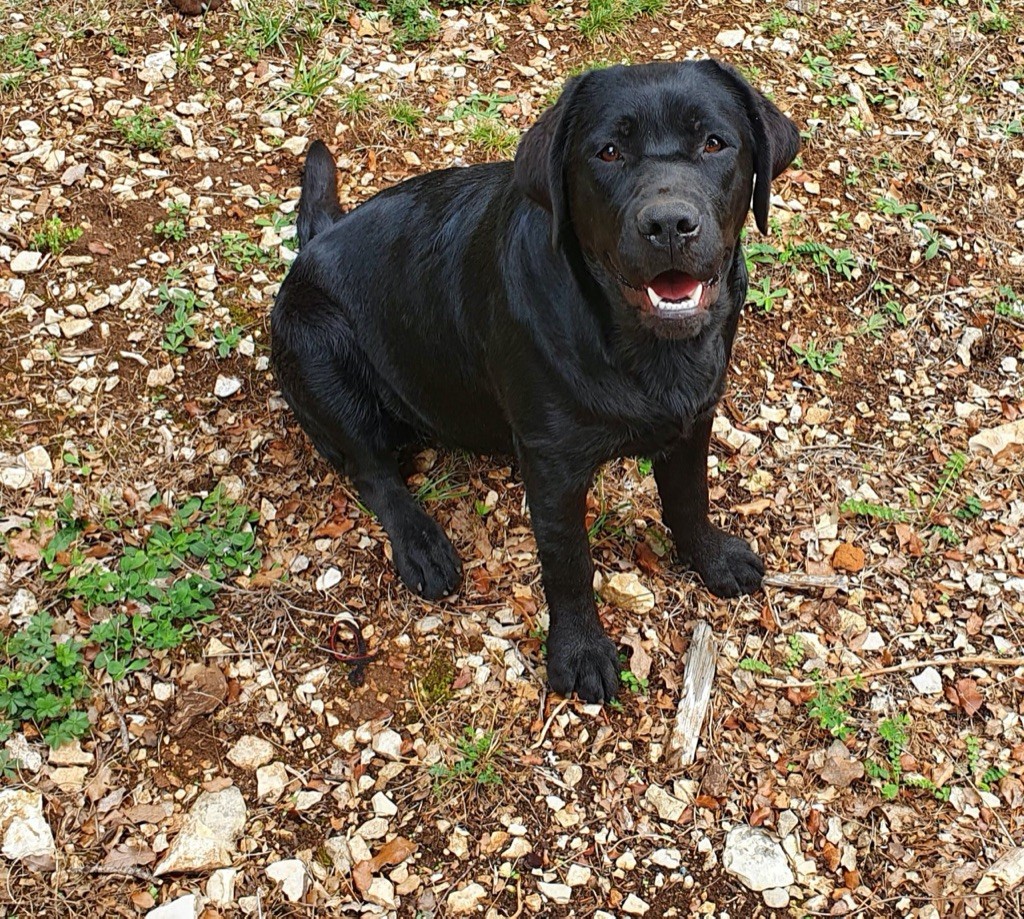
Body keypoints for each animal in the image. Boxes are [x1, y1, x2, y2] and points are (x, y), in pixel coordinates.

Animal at [272, 60, 798, 700]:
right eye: (608, 152)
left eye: (715, 143)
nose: (670, 224)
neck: (637, 344)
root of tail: (314, 244)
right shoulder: (554, 465)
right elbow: (568, 561)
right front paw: (579, 651)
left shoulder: (693, 419)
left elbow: (689, 498)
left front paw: (712, 557)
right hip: (319, 347)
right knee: (372, 472)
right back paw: (421, 544)